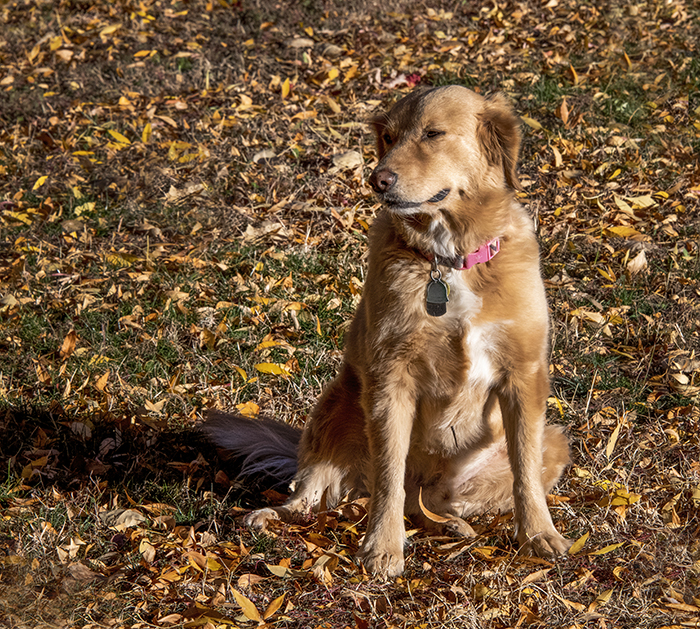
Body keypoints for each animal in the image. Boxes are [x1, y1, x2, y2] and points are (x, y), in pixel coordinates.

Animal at [205, 86, 572, 576]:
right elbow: (388, 478)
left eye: (433, 134)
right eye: (389, 138)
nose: (378, 179)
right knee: (314, 495)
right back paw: (269, 515)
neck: (447, 259)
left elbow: (525, 474)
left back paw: (451, 524)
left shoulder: (524, 375)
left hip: (554, 441)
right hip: (337, 405)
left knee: (428, 501)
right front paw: (383, 547)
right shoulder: (388, 379)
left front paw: (537, 534)